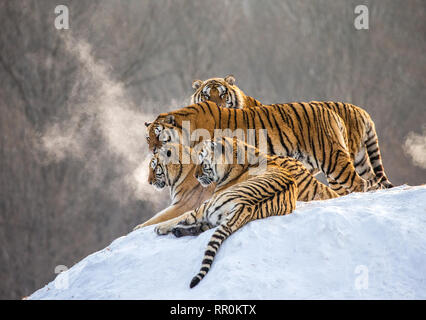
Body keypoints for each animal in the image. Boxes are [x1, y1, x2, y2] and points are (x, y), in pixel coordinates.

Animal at [153, 138, 340, 288]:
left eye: (203, 162)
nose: (196, 176)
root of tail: (244, 206)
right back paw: (179, 231)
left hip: (208, 205)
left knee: (185, 218)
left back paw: (163, 228)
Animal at [191, 75, 394, 191]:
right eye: (207, 95)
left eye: (223, 94)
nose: (214, 106)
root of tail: (360, 110)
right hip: (360, 160)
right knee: (372, 181)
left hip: (335, 160)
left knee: (354, 184)